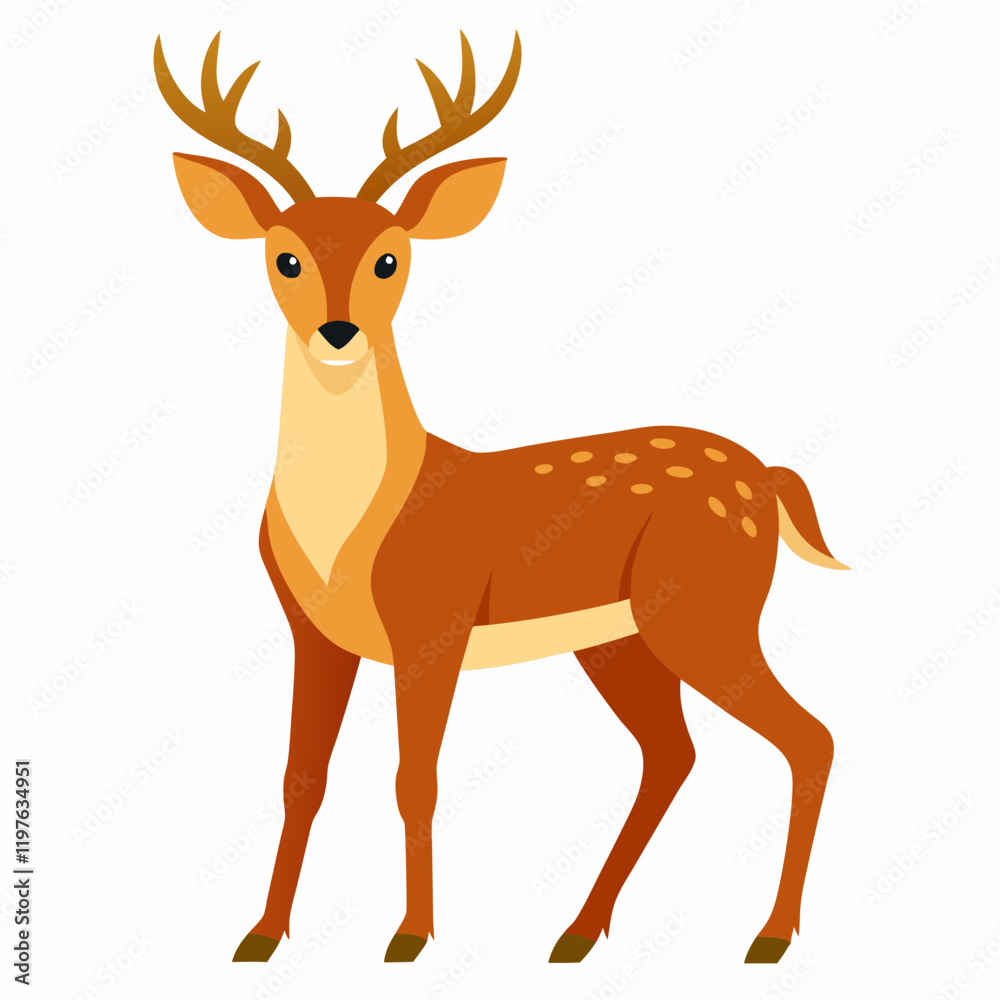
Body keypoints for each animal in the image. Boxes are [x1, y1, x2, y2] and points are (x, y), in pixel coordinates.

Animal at [154, 30, 848, 967]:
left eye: (390, 257)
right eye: (285, 256)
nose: (338, 331)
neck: (349, 530)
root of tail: (768, 478)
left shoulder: (433, 623)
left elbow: (415, 778)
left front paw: (410, 936)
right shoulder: (311, 630)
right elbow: (302, 778)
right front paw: (259, 936)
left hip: (706, 609)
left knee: (808, 738)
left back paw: (767, 938)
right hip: (621, 640)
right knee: (673, 754)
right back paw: (577, 933)